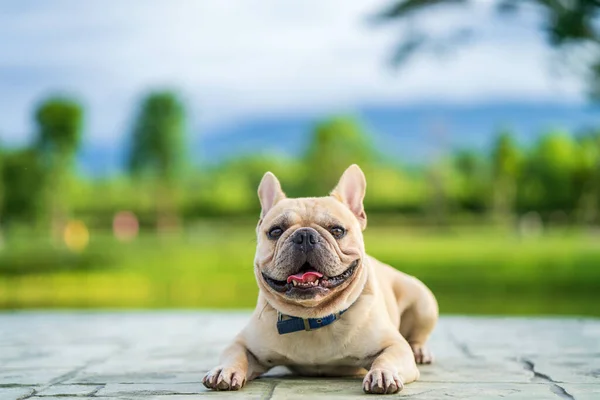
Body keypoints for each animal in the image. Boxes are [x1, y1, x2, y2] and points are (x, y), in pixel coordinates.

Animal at [202, 163, 436, 394]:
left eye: (337, 230)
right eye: (275, 231)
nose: (305, 235)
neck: (313, 317)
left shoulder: (394, 345)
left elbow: (386, 357)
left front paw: (383, 374)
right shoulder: (243, 344)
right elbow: (235, 355)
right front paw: (224, 371)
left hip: (423, 303)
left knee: (417, 336)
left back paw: (420, 351)